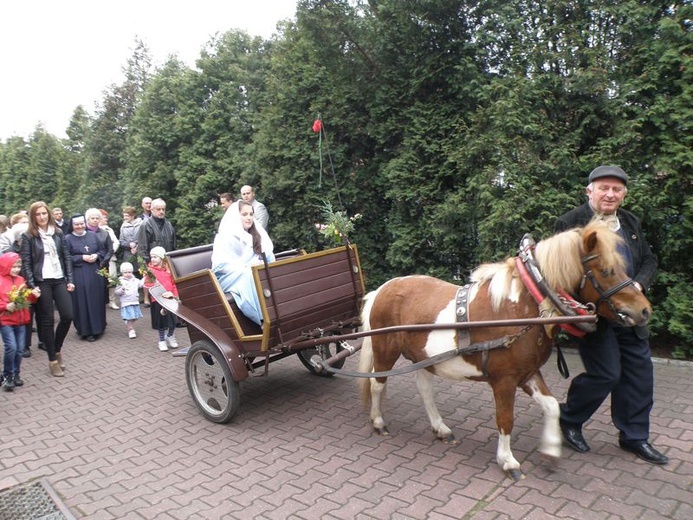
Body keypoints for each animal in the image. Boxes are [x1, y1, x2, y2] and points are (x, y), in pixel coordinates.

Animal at [360, 222, 652, 480]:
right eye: (605, 270)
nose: (644, 310)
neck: (522, 309)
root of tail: (382, 289)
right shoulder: (505, 381)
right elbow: (505, 419)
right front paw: (508, 461)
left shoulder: (529, 373)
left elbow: (552, 407)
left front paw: (550, 450)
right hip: (385, 350)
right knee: (377, 384)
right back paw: (378, 422)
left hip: (423, 358)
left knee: (424, 389)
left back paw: (440, 428)